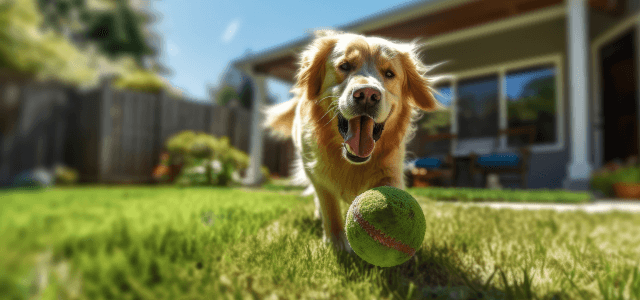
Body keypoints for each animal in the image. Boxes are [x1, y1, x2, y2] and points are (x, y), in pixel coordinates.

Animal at [262, 29, 442, 251]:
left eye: (389, 73)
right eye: (345, 66)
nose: (367, 95)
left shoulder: (390, 168)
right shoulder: (317, 172)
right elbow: (329, 205)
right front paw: (337, 242)